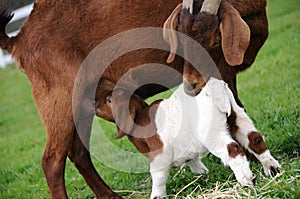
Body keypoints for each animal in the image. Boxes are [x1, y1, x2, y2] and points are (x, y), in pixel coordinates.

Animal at [97, 77, 280, 197]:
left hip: (212, 131)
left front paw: (156, 196)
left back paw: (246, 181)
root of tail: (214, 87)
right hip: (238, 116)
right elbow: (195, 163)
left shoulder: (159, 157)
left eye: (109, 100)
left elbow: (158, 179)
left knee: (232, 149)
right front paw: (203, 174)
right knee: (255, 139)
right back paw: (273, 170)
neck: (139, 118)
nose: (95, 105)